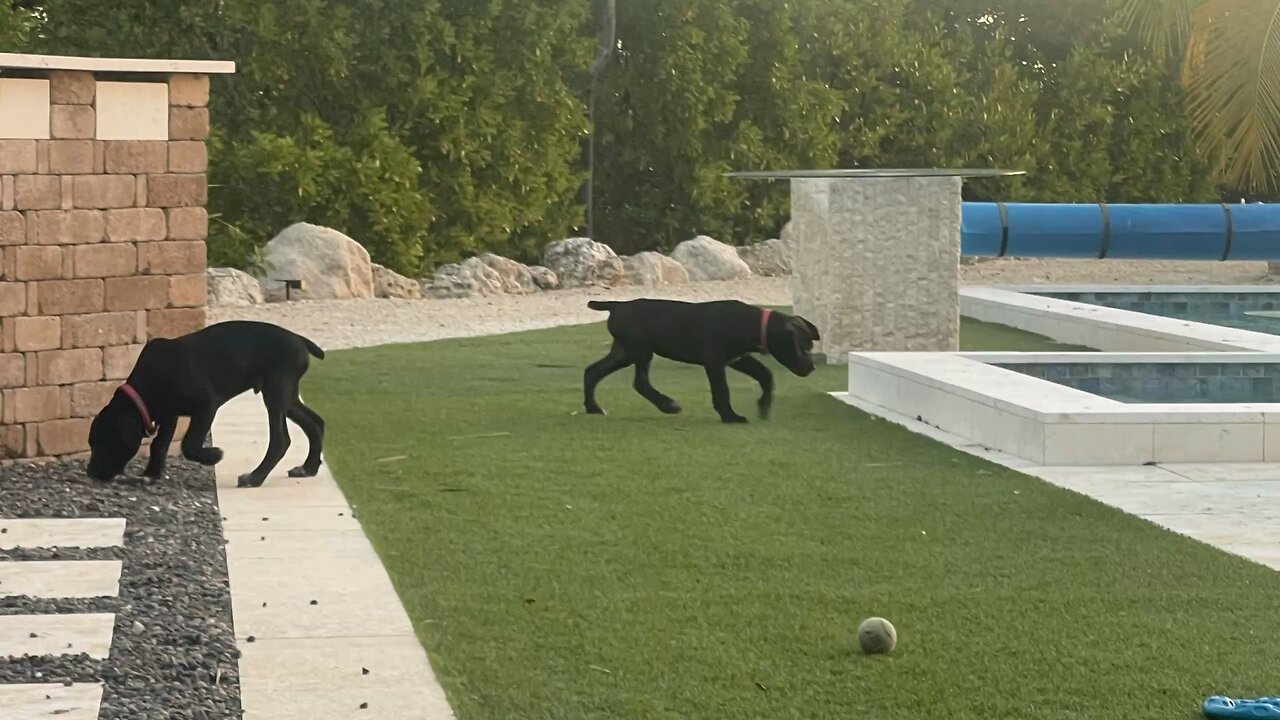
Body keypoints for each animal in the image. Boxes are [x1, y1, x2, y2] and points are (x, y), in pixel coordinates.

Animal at [85, 320, 325, 484]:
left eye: (105, 442)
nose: (91, 473)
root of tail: (299, 339)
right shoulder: (169, 414)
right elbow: (159, 445)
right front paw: (151, 474)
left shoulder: (207, 406)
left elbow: (189, 444)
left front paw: (213, 456)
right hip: (287, 397)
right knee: (315, 423)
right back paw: (308, 468)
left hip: (276, 393)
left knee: (280, 440)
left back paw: (254, 478)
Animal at [583, 297, 819, 420]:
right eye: (803, 347)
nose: (811, 368)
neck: (753, 323)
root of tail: (617, 305)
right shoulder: (714, 362)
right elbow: (722, 390)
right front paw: (730, 416)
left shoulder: (738, 359)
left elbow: (765, 375)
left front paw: (763, 406)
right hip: (639, 351)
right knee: (639, 382)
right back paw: (668, 405)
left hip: (624, 352)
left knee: (592, 372)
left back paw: (593, 408)